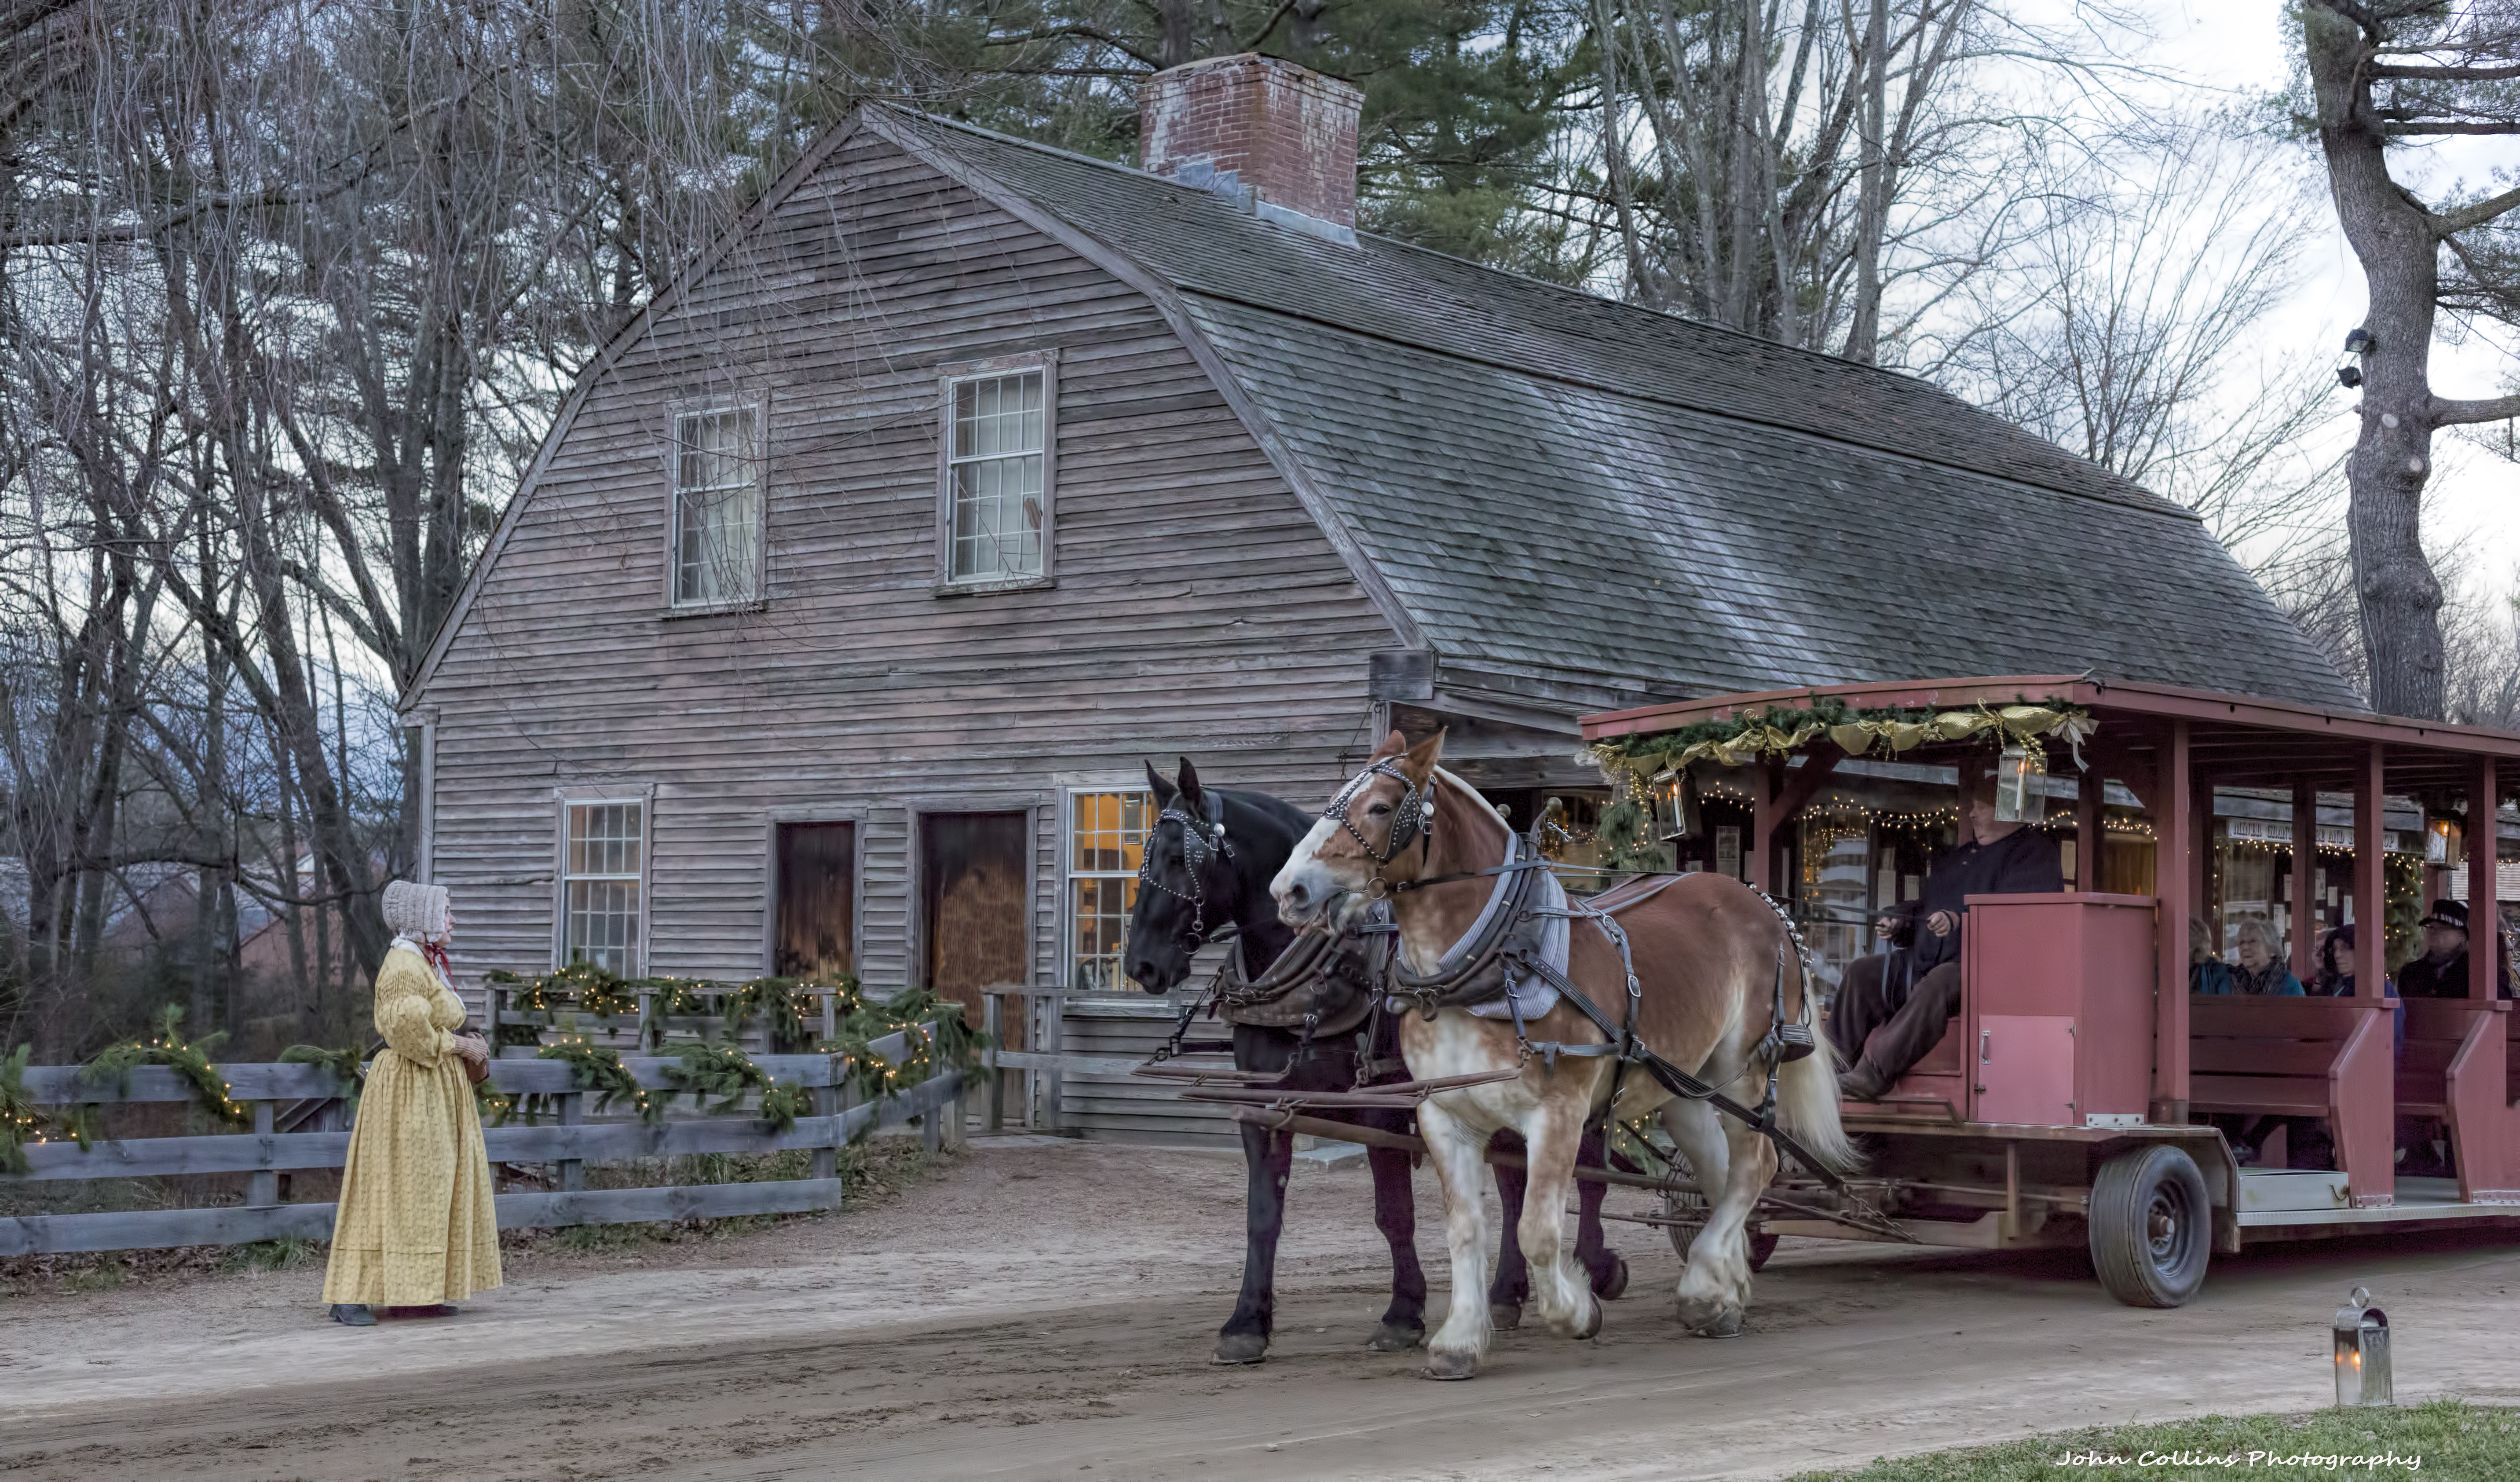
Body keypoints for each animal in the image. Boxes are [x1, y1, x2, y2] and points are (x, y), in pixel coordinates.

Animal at [1129, 756, 1633, 1361]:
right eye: (1141, 855)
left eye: (1177, 858)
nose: (1139, 966)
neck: (1325, 970)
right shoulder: (1263, 1104)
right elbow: (1262, 1216)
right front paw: (1246, 1322)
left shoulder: (1383, 1106)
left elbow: (1394, 1214)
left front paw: (1403, 1313)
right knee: (1516, 1189)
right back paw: (1507, 1295)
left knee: (1588, 1176)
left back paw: (1595, 1266)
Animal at [1280, 731, 1854, 1381]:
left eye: (1380, 807)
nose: (1289, 889)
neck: (1494, 959)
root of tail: (1765, 903)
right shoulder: (1442, 1115)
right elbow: (1464, 1230)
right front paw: (1460, 1339)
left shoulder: (1558, 1112)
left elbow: (1536, 1229)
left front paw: (1578, 1311)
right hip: (1682, 1081)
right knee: (1720, 1170)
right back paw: (1724, 1285)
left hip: (1744, 1070)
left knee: (1756, 1165)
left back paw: (1703, 1291)